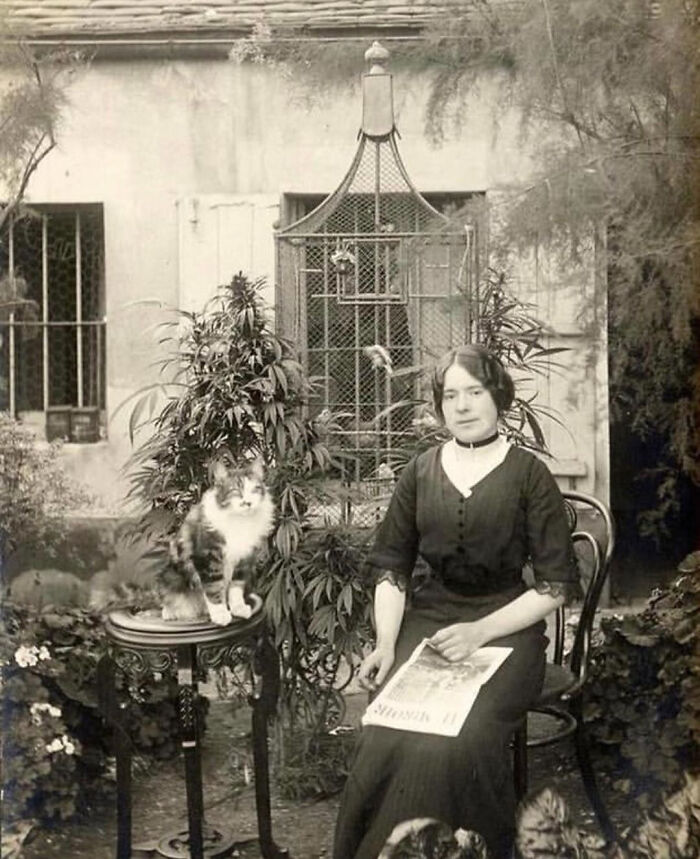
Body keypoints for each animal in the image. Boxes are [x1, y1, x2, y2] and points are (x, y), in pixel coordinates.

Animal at [157, 456, 274, 624]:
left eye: (255, 489)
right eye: (235, 490)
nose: (248, 503)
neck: (240, 521)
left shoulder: (243, 560)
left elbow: (236, 587)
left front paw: (238, 608)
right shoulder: (207, 557)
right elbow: (213, 588)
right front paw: (220, 614)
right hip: (170, 577)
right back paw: (171, 612)